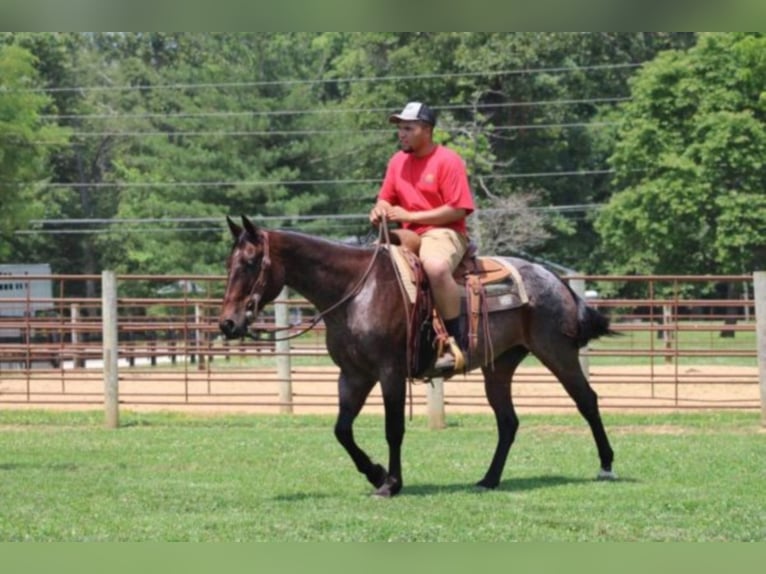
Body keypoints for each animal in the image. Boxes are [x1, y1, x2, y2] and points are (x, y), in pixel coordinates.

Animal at [220, 217, 616, 500]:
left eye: (251, 262)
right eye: (229, 263)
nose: (228, 323)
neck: (356, 291)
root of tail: (556, 280)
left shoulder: (390, 372)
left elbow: (393, 428)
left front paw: (391, 483)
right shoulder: (353, 375)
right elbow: (342, 430)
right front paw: (377, 473)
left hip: (557, 352)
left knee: (587, 401)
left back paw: (606, 467)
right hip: (499, 365)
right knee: (508, 422)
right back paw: (488, 479)